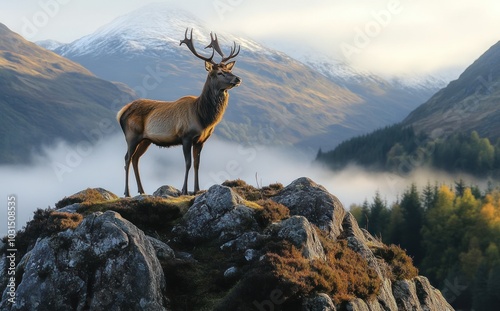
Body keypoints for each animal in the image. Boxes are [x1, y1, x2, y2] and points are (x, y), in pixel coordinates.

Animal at [117, 28, 242, 196]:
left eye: (228, 69)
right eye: (219, 73)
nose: (238, 78)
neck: (203, 118)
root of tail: (121, 112)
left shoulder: (201, 140)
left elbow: (197, 164)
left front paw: (197, 189)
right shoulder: (186, 136)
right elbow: (188, 163)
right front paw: (184, 190)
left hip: (145, 139)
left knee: (136, 158)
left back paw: (141, 190)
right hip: (131, 135)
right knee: (127, 158)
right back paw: (127, 192)